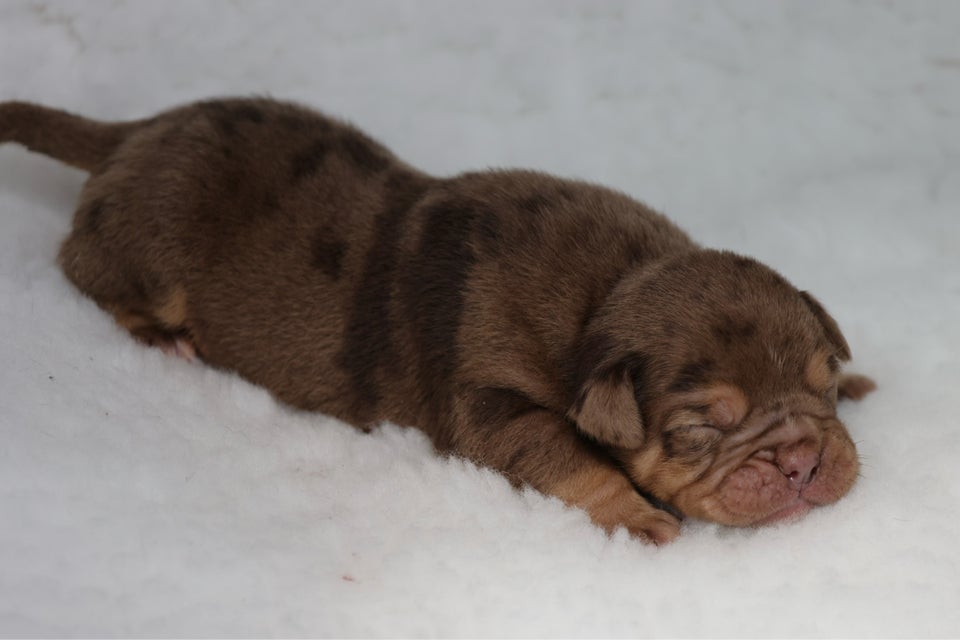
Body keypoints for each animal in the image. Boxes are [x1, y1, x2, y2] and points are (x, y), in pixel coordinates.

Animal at [0, 97, 872, 544]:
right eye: (700, 428)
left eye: (822, 385)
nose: (802, 461)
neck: (611, 288)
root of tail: (135, 130)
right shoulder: (487, 404)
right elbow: (563, 453)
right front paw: (633, 514)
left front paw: (863, 381)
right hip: (150, 248)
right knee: (86, 269)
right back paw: (164, 339)